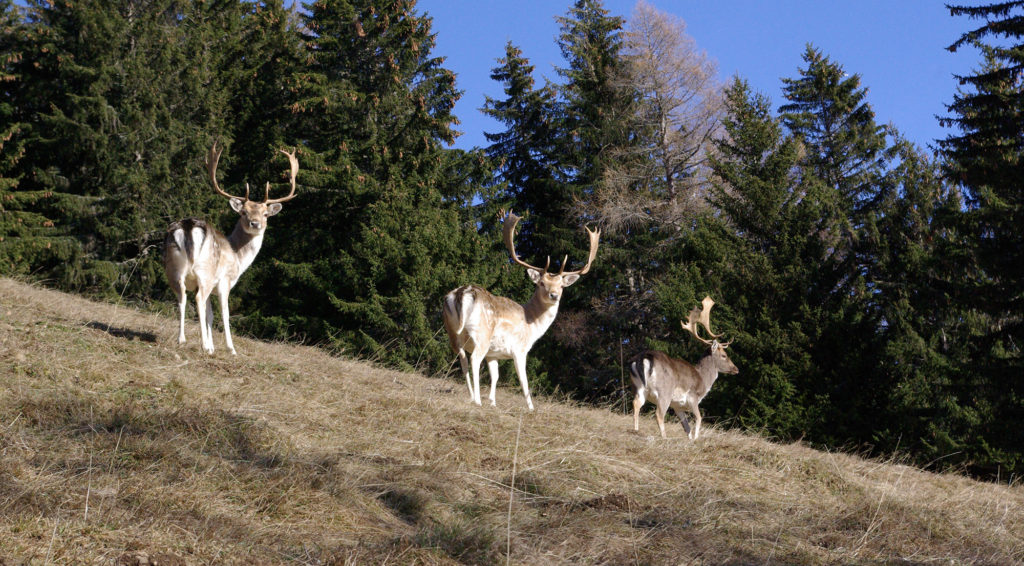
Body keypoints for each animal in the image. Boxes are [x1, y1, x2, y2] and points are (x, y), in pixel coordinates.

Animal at [159, 140, 296, 352]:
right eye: (243, 212)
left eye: (265, 214)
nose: (255, 223)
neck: (237, 256)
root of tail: (188, 226)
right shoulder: (225, 280)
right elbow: (224, 313)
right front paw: (229, 349)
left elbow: (209, 315)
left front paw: (212, 346)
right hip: (205, 271)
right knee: (197, 300)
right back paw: (202, 345)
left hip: (173, 268)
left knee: (181, 298)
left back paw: (182, 340)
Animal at [442, 209, 598, 407]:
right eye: (541, 283)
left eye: (561, 286)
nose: (554, 295)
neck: (532, 323)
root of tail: (462, 293)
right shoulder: (520, 349)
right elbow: (524, 382)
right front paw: (531, 408)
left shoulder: (494, 353)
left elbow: (495, 376)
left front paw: (493, 402)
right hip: (481, 333)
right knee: (474, 359)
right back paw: (477, 400)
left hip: (452, 332)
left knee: (462, 360)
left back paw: (471, 397)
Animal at [626, 292, 741, 440]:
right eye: (724, 355)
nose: (736, 369)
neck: (703, 380)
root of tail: (643, 357)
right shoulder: (693, 397)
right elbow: (699, 419)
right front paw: (697, 439)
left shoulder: (678, 406)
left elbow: (687, 427)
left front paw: (691, 439)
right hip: (664, 391)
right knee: (659, 414)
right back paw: (664, 437)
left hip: (638, 387)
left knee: (636, 404)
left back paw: (636, 430)